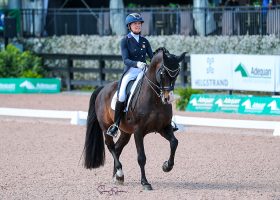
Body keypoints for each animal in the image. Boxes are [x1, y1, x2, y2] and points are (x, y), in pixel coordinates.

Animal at [84, 47, 187, 190]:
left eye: (176, 74)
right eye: (162, 73)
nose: (168, 98)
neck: (154, 99)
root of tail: (103, 89)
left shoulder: (164, 128)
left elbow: (174, 142)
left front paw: (167, 166)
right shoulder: (138, 132)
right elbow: (141, 157)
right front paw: (145, 182)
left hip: (126, 132)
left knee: (117, 148)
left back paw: (117, 177)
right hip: (106, 127)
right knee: (110, 146)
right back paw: (119, 173)